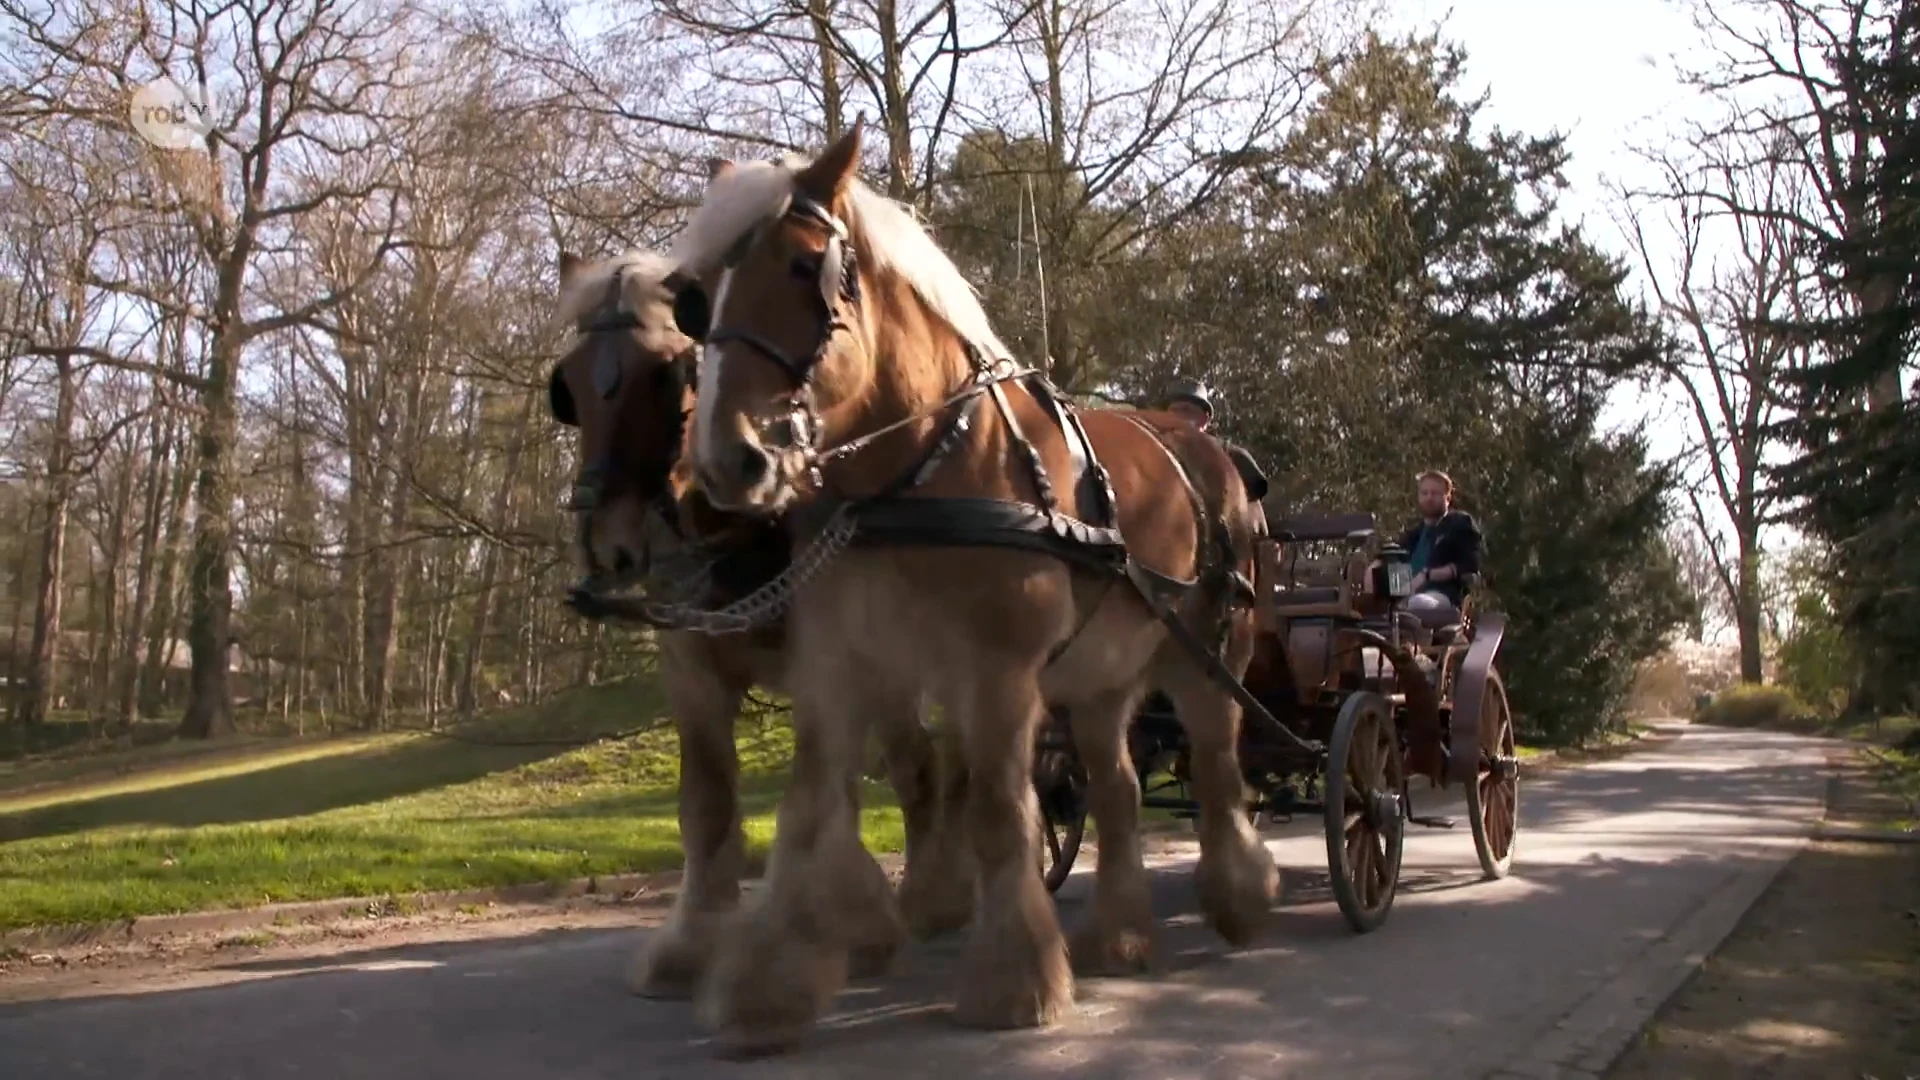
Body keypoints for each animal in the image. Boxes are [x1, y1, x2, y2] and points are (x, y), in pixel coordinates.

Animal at [549, 245, 983, 999]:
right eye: (568, 385)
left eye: (666, 373)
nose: (608, 542)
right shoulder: (690, 670)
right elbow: (708, 803)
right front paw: (691, 944)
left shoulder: (827, 662)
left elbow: (819, 794)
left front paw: (844, 921)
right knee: (923, 762)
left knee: (937, 762)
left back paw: (940, 894)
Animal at [668, 122, 1282, 1045]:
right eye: (696, 297)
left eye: (805, 266)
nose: (726, 461)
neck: (918, 471)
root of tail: (1208, 449)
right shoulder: (842, 669)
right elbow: (808, 814)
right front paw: (765, 990)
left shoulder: (995, 675)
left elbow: (998, 812)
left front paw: (1013, 981)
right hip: (1099, 677)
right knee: (1118, 788)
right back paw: (1120, 937)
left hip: (1209, 653)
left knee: (1216, 768)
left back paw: (1240, 900)